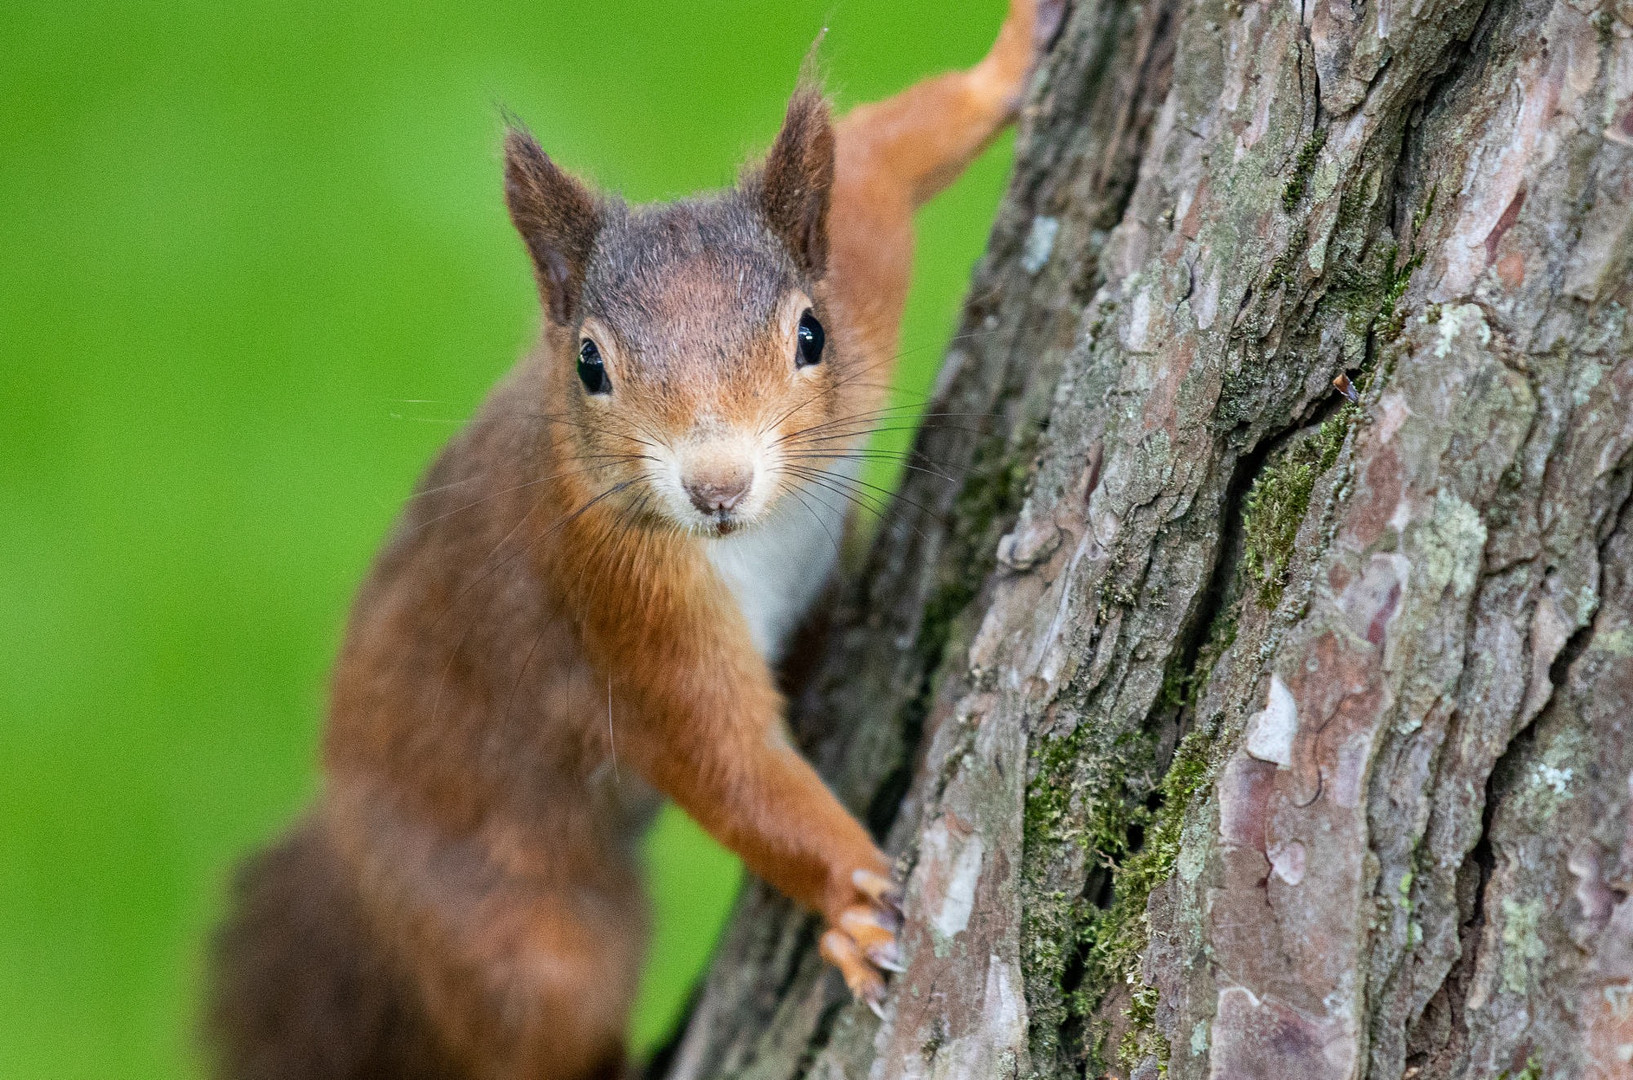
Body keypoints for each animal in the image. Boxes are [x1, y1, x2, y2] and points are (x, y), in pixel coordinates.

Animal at [207, 4, 1058, 1071]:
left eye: (809, 335)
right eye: (588, 365)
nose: (715, 484)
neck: (755, 531)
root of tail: (356, 853)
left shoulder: (859, 277)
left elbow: (879, 156)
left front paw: (1005, 66)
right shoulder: (621, 600)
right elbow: (726, 764)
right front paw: (851, 900)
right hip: (511, 926)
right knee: (537, 1020)